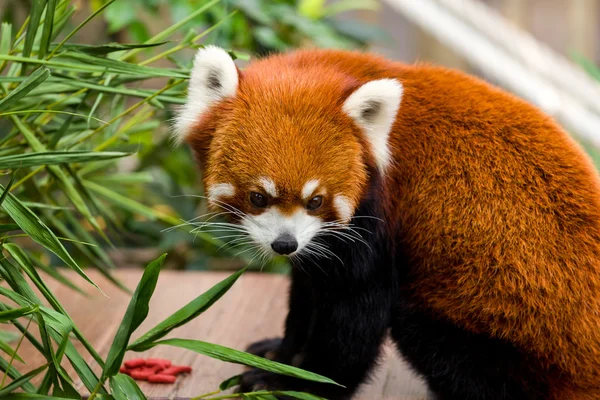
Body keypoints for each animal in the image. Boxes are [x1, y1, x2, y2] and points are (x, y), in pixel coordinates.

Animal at [176, 47, 600, 400]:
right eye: (258, 197)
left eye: (316, 200)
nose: (285, 244)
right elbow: (308, 292)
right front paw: (281, 354)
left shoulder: (378, 212)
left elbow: (357, 310)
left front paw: (298, 383)